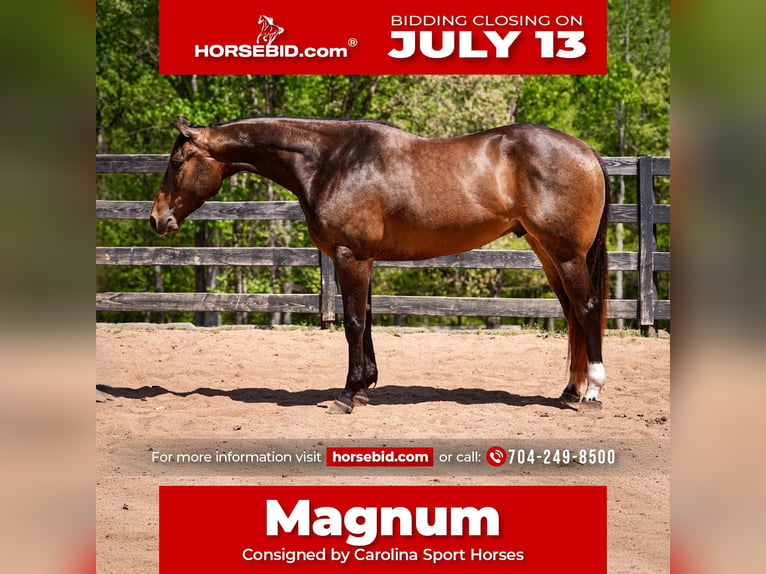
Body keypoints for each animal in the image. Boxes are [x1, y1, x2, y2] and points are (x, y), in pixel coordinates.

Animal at [150, 117, 610, 414]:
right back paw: (570, 391)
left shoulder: (350, 256)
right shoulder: (362, 258)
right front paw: (365, 386)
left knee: (586, 310)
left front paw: (346, 395)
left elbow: (353, 322)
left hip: (565, 254)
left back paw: (591, 393)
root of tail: (587, 151)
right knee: (572, 314)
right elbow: (367, 319)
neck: (331, 161)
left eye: (176, 163)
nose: (157, 219)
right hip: (546, 251)